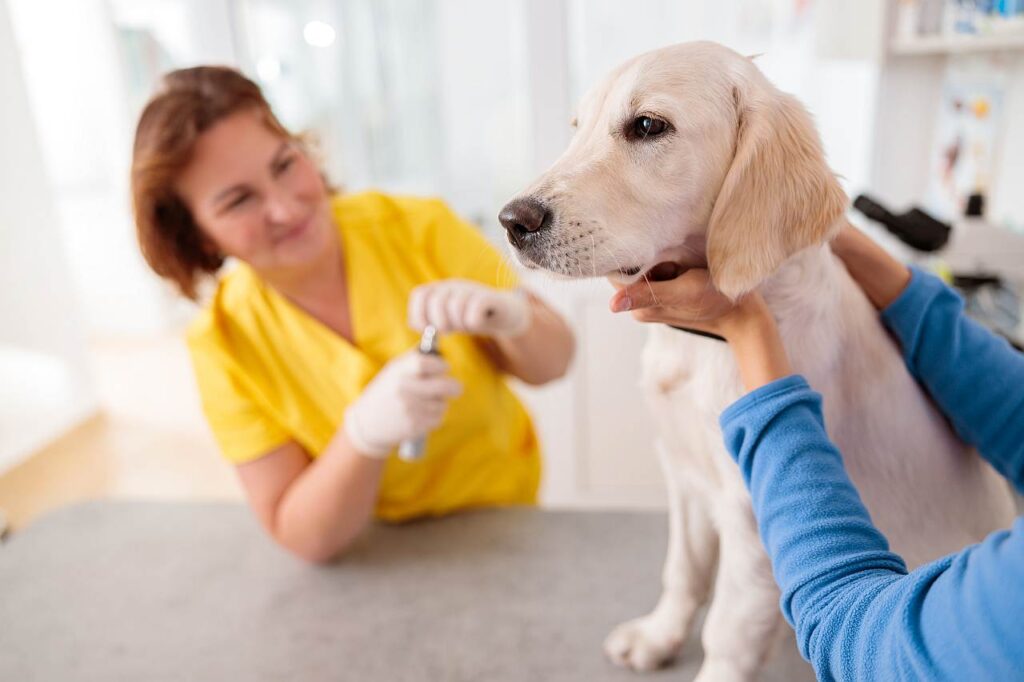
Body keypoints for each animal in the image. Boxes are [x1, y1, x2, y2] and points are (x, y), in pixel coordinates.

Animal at [495, 39, 1015, 675]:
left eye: (647, 126)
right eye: (577, 128)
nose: (512, 221)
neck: (696, 349)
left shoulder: (753, 522)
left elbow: (728, 631)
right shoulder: (684, 475)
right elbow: (683, 570)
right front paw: (659, 636)